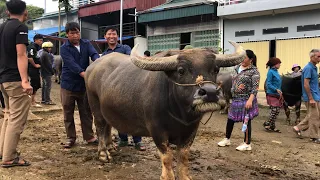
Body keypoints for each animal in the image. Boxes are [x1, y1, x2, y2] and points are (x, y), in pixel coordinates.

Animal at [85, 41, 245, 180]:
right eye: (181, 70)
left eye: (215, 69)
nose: (211, 92)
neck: (180, 112)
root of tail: (91, 68)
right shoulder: (157, 131)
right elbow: (167, 157)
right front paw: (167, 176)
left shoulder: (191, 130)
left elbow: (184, 156)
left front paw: (185, 176)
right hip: (95, 106)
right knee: (100, 127)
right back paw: (103, 154)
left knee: (107, 125)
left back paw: (110, 147)